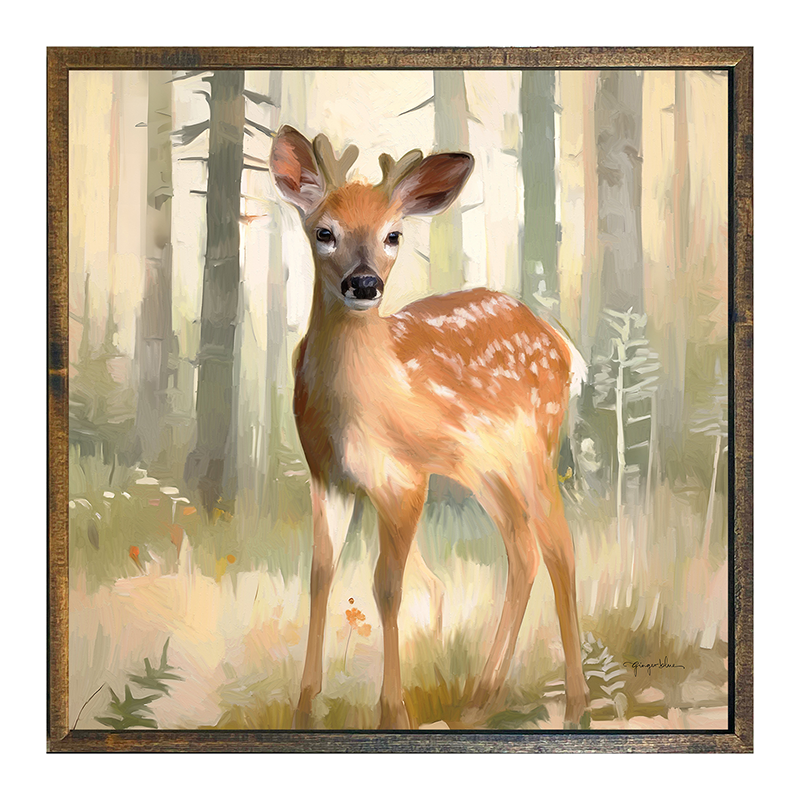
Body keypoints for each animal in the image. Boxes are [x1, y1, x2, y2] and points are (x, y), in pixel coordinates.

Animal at [269, 125, 589, 729]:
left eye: (393, 235)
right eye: (325, 231)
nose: (364, 283)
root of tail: (561, 344)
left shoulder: (404, 477)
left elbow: (387, 587)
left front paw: (392, 712)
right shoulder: (327, 476)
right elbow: (321, 576)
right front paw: (303, 707)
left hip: (534, 443)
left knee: (559, 546)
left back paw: (579, 703)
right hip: (482, 466)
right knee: (522, 550)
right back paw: (481, 696)